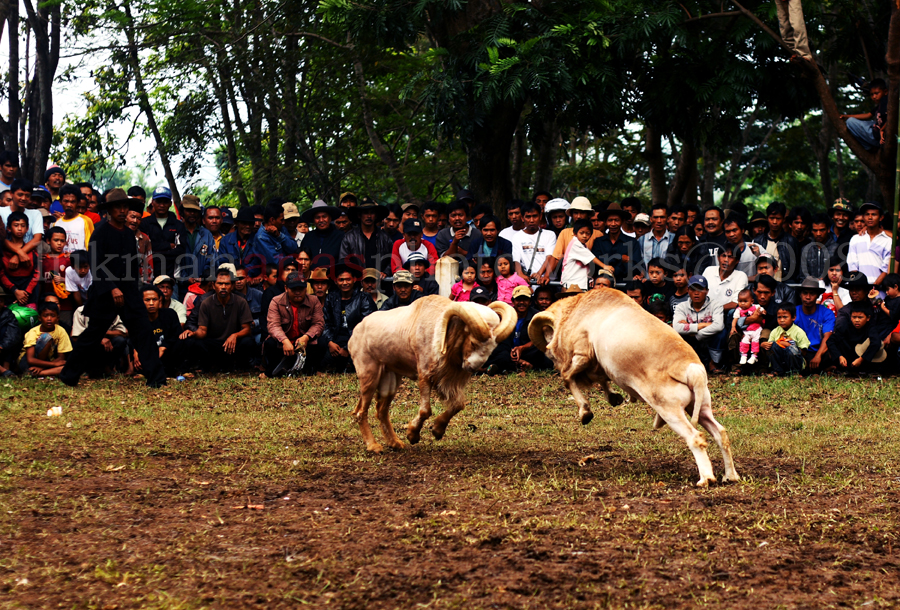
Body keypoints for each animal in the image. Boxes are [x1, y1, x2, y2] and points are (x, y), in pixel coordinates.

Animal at [348, 294, 516, 452]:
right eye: (473, 343)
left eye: (493, 347)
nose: (472, 367)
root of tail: (355, 333)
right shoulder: (425, 375)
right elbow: (425, 411)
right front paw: (413, 435)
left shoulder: (447, 381)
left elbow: (458, 405)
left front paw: (437, 430)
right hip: (369, 375)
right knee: (361, 412)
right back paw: (373, 446)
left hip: (390, 379)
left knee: (381, 411)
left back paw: (395, 443)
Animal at [528, 288, 740, 484]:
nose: (549, 354)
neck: (576, 310)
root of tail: (693, 371)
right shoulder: (599, 365)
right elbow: (601, 379)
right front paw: (614, 398)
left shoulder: (582, 354)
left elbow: (568, 377)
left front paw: (585, 413)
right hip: (700, 406)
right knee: (721, 434)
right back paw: (730, 476)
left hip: (670, 409)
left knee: (696, 437)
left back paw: (706, 479)